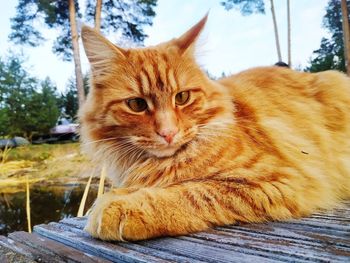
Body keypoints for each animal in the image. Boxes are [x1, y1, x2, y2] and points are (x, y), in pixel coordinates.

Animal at [78, 14, 350, 241]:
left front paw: (122, 207)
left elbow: (191, 192)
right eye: (136, 104)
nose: (168, 133)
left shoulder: (277, 180)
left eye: (182, 97)